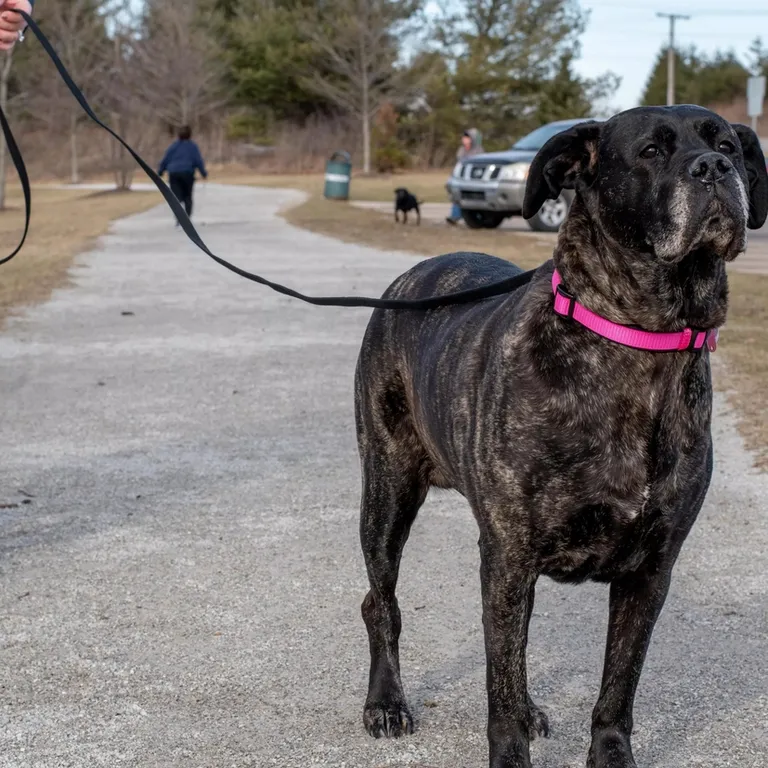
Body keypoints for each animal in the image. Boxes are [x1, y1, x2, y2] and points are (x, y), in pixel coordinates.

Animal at [352, 103, 768, 768]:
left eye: (727, 144)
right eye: (652, 151)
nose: (713, 168)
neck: (642, 338)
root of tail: (410, 275)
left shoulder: (650, 570)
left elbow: (617, 686)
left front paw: (610, 754)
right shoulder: (508, 557)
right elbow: (500, 688)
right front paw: (509, 749)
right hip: (388, 490)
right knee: (382, 603)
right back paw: (386, 702)